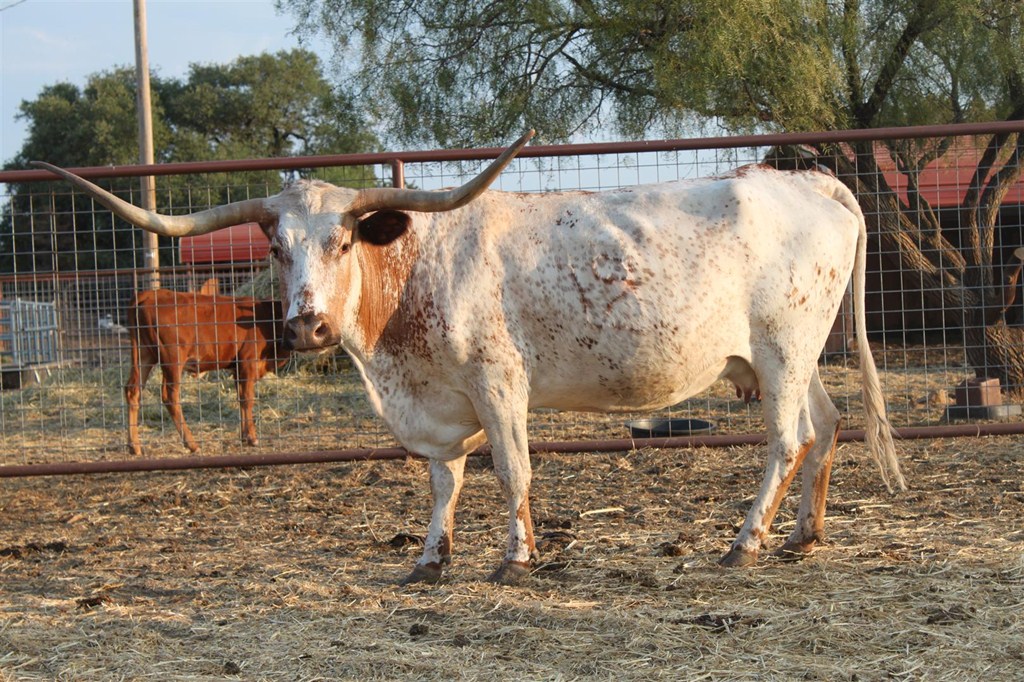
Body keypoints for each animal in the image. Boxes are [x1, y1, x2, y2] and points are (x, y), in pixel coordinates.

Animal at [125, 289, 289, 456]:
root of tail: (151, 293)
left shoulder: (238, 369)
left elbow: (241, 399)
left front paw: (244, 436)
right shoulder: (248, 363)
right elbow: (247, 399)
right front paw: (251, 438)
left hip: (144, 354)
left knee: (133, 390)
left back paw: (134, 446)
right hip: (172, 358)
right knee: (170, 396)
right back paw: (192, 444)